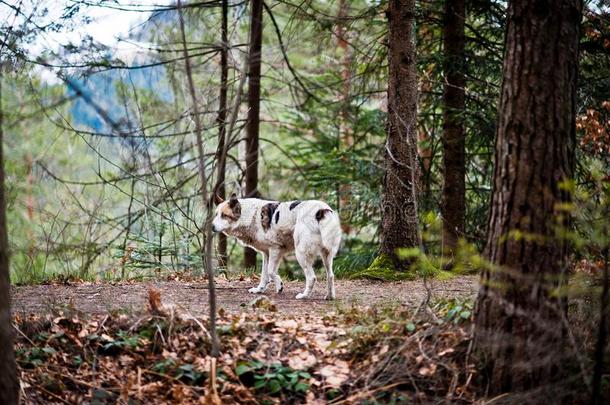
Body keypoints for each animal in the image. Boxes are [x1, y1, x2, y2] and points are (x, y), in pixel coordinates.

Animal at [211, 194, 340, 298]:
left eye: (224, 215)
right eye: (216, 214)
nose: (212, 227)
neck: (250, 216)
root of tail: (322, 210)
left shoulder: (275, 250)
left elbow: (270, 272)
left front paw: (279, 286)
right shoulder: (266, 254)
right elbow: (264, 275)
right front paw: (259, 290)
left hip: (301, 254)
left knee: (312, 277)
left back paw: (304, 296)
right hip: (326, 256)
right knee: (330, 275)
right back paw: (330, 296)